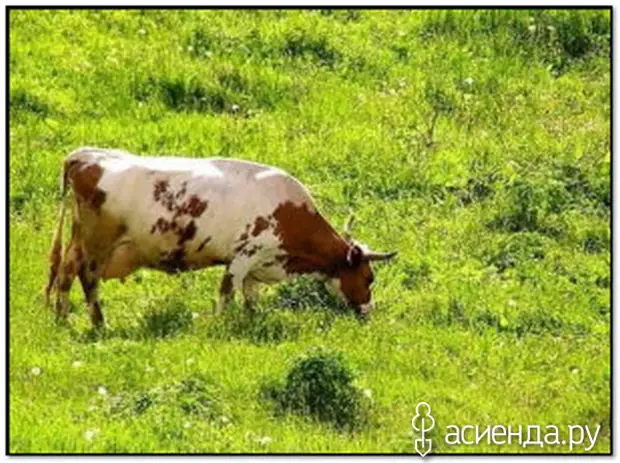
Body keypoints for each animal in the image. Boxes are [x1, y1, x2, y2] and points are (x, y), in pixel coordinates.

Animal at [46, 147, 400, 328]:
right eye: (368, 278)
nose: (369, 311)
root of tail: (85, 155)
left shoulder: (258, 266)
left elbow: (250, 298)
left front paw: (253, 321)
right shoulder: (242, 257)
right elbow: (227, 294)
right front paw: (220, 326)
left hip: (79, 240)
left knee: (65, 272)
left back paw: (64, 318)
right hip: (97, 245)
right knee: (86, 279)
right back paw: (96, 324)